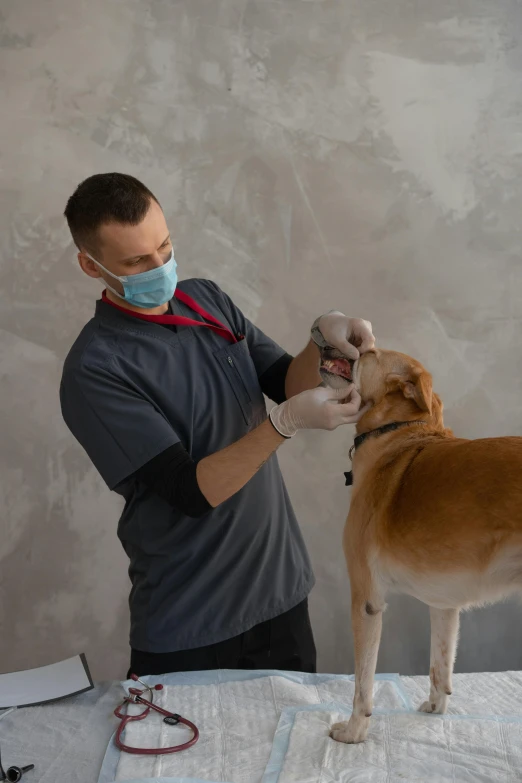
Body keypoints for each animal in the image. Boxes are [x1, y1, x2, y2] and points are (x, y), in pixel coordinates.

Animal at [316, 346, 520, 744]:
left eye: (368, 351)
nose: (330, 346)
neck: (399, 434)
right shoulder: (444, 605)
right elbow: (440, 666)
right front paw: (435, 708)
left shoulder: (366, 600)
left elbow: (363, 682)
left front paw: (354, 731)